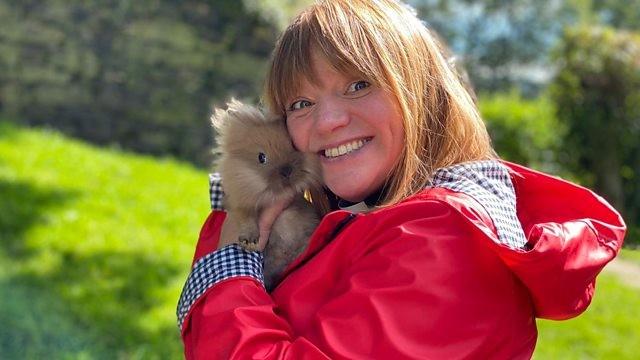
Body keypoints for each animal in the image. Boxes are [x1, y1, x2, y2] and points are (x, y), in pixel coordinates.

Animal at [212, 100, 322, 292]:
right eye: (261, 157)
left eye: (293, 146)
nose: (287, 171)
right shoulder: (240, 206)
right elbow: (247, 219)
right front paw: (249, 241)